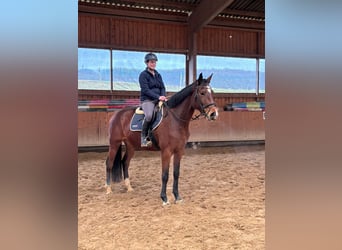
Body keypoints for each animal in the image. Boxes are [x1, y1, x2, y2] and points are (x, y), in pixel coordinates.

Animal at [105, 72, 219, 205]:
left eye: (212, 92)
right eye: (202, 92)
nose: (213, 114)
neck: (175, 120)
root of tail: (116, 114)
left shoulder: (179, 151)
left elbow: (176, 173)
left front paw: (177, 197)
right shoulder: (166, 151)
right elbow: (165, 175)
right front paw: (164, 198)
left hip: (131, 146)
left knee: (125, 162)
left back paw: (129, 187)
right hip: (114, 143)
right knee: (109, 163)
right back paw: (108, 188)